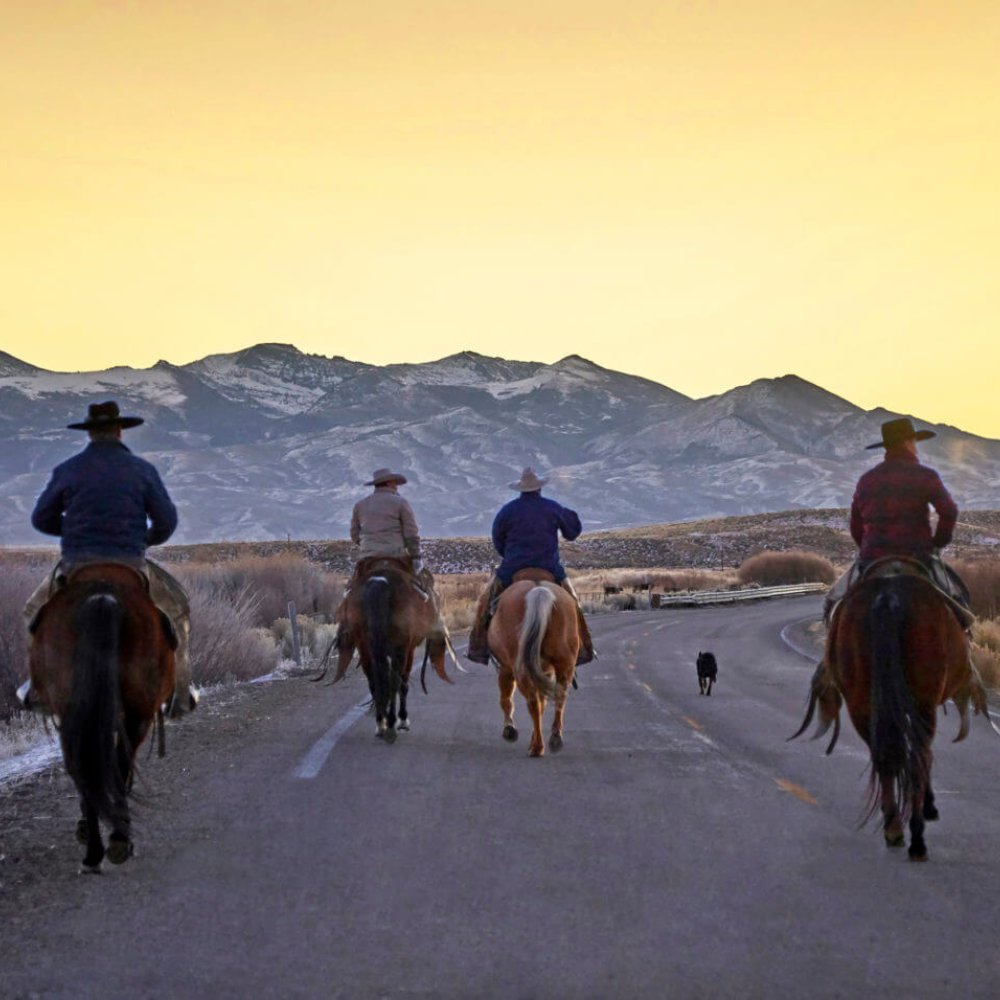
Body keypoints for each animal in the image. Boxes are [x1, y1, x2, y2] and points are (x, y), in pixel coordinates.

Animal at [28, 563, 176, 872]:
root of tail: (103, 596)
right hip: (136, 715)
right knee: (116, 763)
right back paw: (115, 840)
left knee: (85, 766)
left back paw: (96, 849)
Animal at [331, 560, 453, 743]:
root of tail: (379, 582)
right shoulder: (408, 650)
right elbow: (402, 684)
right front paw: (403, 720)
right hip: (399, 649)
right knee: (395, 681)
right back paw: (391, 725)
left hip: (365, 647)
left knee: (375, 682)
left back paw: (381, 724)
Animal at [489, 570, 580, 757]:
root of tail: (538, 591)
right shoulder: (545, 671)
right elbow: (543, 702)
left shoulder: (505, 668)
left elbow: (506, 699)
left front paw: (509, 730)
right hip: (564, 663)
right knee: (559, 696)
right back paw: (554, 738)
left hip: (520, 669)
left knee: (531, 702)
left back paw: (537, 747)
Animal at [791, 559, 993, 861]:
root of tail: (888, 598)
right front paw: (929, 806)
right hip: (922, 701)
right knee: (919, 754)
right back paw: (917, 838)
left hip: (861, 701)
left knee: (884, 753)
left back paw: (894, 828)